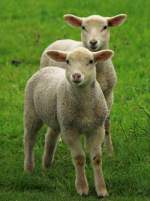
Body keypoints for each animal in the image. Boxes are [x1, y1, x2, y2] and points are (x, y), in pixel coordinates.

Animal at [23, 46, 113, 196]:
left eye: (91, 61)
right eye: (67, 61)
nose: (76, 76)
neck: (85, 105)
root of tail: (47, 68)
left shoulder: (97, 128)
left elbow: (96, 159)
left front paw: (101, 190)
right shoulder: (70, 130)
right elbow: (79, 158)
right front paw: (82, 188)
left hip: (57, 117)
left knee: (50, 137)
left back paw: (47, 164)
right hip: (32, 112)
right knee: (29, 140)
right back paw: (29, 169)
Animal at [39, 13, 126, 155]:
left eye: (105, 27)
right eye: (83, 27)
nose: (93, 42)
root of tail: (58, 40)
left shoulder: (108, 95)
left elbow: (106, 123)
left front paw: (109, 150)